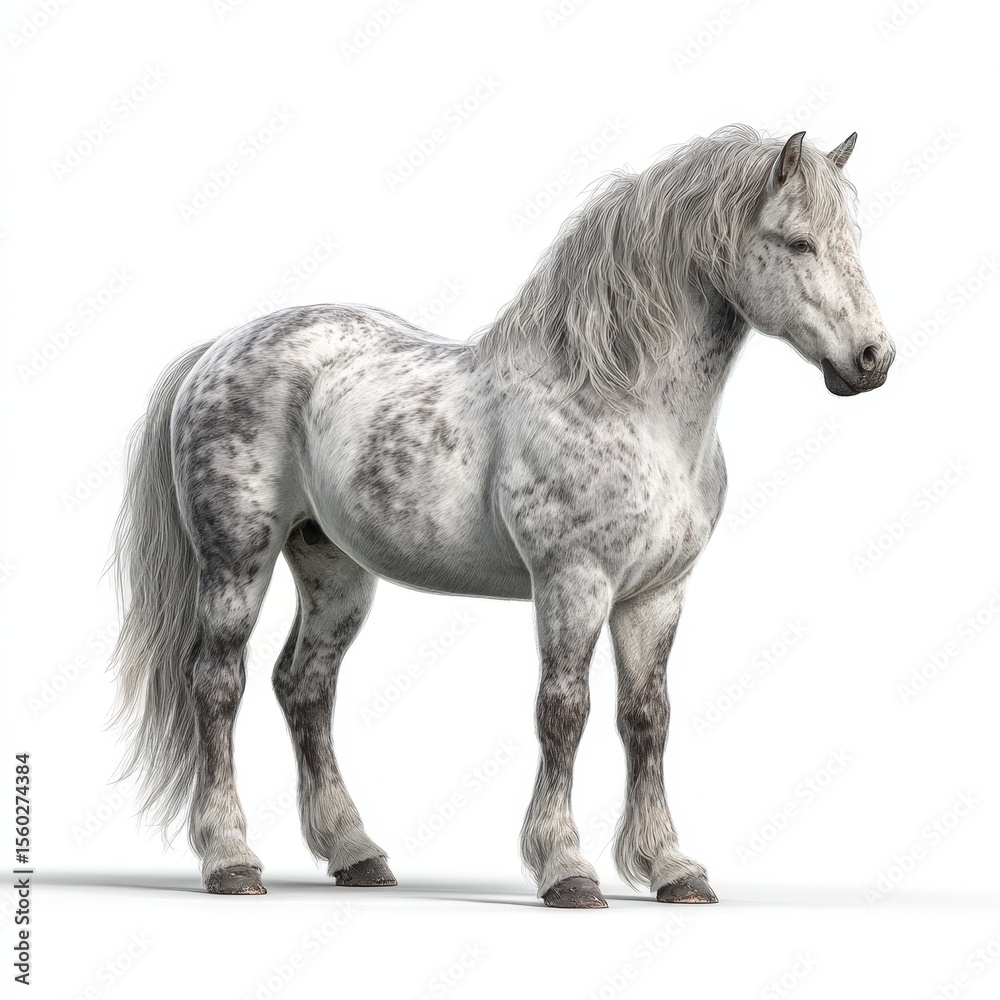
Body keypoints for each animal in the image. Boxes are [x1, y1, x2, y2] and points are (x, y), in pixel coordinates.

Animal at [109, 125, 894, 907]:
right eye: (798, 242)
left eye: (852, 238)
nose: (873, 358)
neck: (623, 402)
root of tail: (217, 350)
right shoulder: (573, 580)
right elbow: (564, 710)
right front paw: (566, 868)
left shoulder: (656, 593)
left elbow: (647, 718)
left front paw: (672, 868)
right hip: (238, 561)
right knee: (219, 684)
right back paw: (230, 860)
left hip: (334, 569)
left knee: (305, 687)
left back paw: (356, 853)